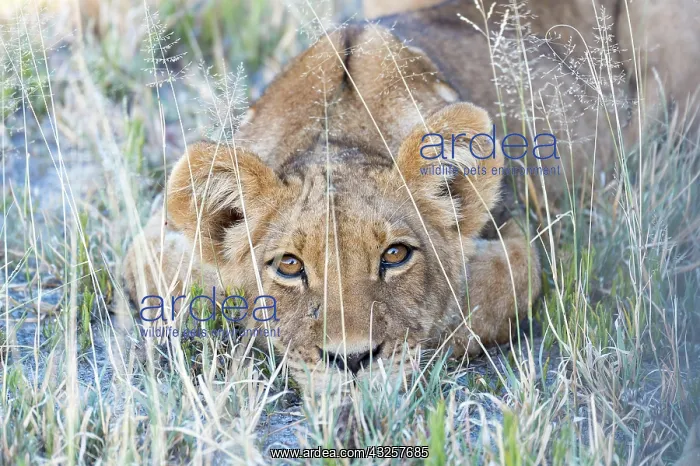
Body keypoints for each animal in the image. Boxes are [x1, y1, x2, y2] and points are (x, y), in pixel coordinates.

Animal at [123, 0, 699, 393]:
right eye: (288, 266)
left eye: (395, 255)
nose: (352, 362)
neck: (342, 130)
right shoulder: (151, 239)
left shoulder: (515, 238)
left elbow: (481, 298)